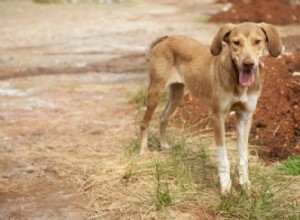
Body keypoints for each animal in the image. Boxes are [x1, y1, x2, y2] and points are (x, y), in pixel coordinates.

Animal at [139, 22, 282, 196]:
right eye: (236, 42)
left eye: (258, 41)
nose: (248, 63)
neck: (238, 82)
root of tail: (167, 38)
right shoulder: (217, 116)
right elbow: (223, 156)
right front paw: (226, 186)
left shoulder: (245, 116)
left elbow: (243, 157)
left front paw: (245, 185)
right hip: (155, 91)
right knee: (144, 122)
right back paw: (143, 151)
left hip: (177, 94)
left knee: (163, 118)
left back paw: (163, 145)